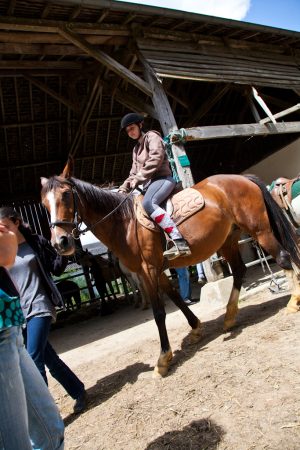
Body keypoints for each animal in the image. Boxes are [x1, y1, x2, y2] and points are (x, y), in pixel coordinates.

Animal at [41, 172, 300, 376]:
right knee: (239, 270)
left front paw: (163, 359)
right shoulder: (155, 271)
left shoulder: (148, 270)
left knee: (283, 258)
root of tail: (242, 177)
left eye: (66, 195)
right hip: (228, 239)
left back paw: (292, 302)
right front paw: (195, 329)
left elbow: (158, 313)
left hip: (259, 230)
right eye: (44, 204)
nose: (60, 243)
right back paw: (229, 316)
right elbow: (176, 299)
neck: (125, 223)